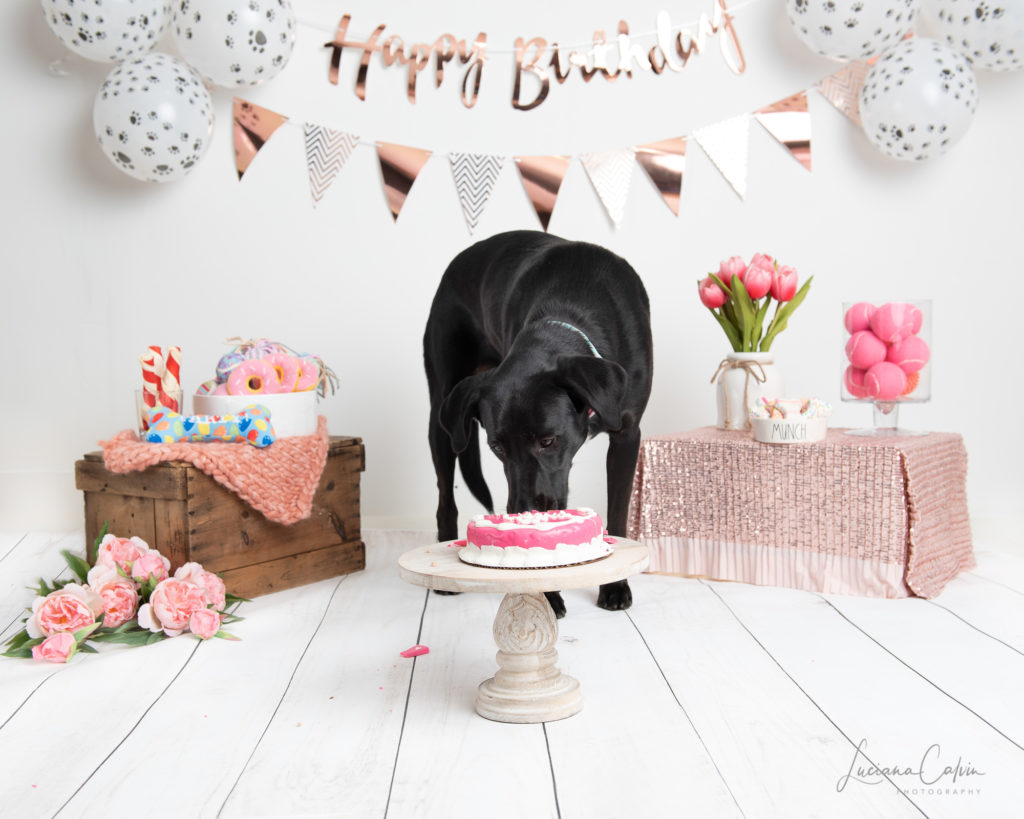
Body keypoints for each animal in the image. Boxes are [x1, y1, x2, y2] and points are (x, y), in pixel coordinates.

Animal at [425, 230, 655, 614]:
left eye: (548, 441)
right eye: (497, 447)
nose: (525, 510)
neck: (571, 312)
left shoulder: (627, 433)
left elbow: (619, 513)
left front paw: (614, 586)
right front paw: (548, 594)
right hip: (442, 414)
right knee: (445, 497)